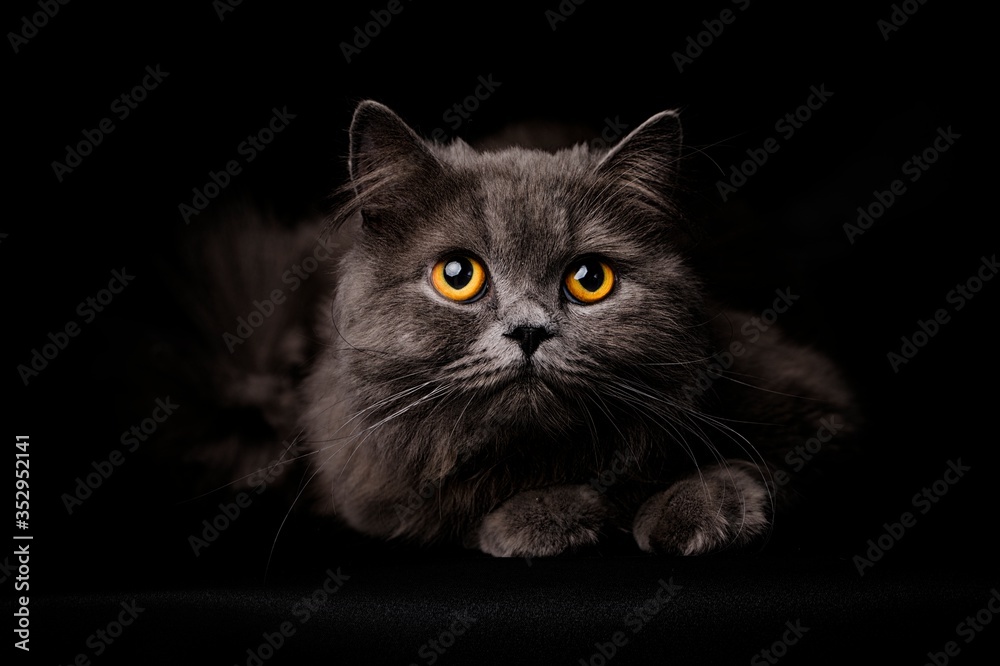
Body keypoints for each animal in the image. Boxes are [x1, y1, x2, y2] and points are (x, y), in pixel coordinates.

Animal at [292, 100, 856, 556]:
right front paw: (542, 517)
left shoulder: (813, 397)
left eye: (589, 279)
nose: (528, 331)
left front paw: (694, 511)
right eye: (457, 275)